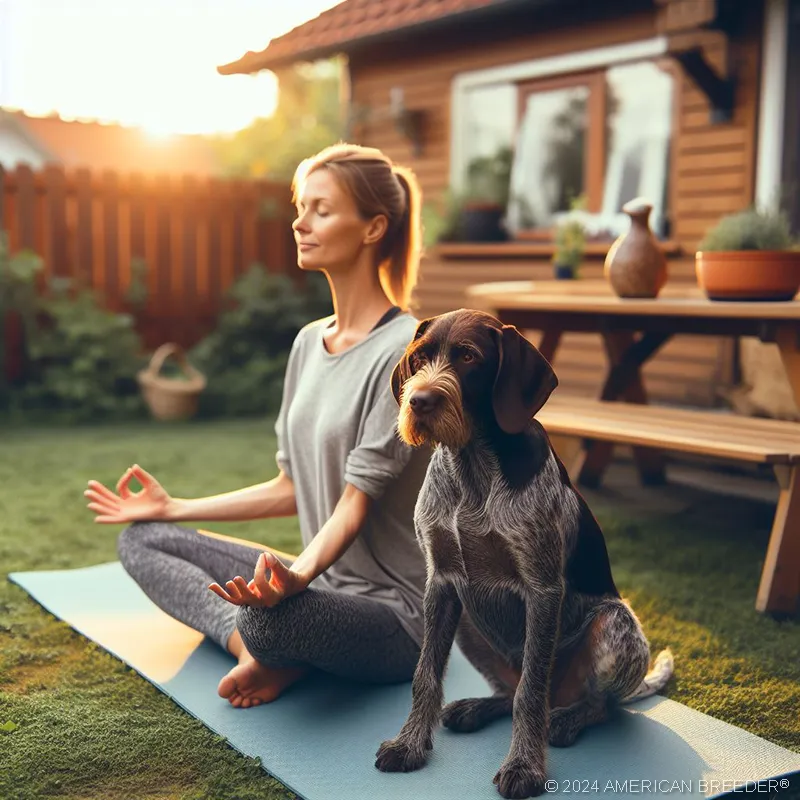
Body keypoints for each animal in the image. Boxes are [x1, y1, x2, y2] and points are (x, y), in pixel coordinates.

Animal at [376, 310, 676, 800]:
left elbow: (531, 693)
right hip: (468, 621)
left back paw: (568, 719)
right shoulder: (440, 582)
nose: (419, 402)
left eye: (468, 357)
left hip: (612, 624)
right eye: (420, 358)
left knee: (598, 703)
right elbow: (426, 674)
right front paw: (410, 744)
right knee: (508, 689)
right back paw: (477, 707)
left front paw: (524, 767)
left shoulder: (543, 589)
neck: (472, 468)